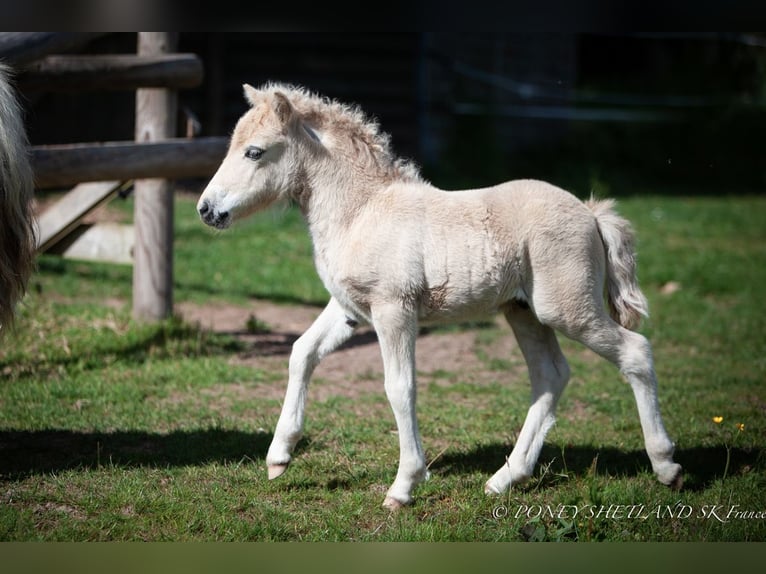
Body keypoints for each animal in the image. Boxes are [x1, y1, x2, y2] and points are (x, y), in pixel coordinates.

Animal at [198, 81, 684, 508]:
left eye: (254, 151)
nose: (206, 209)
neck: (362, 211)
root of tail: (590, 211)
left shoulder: (393, 310)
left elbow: (400, 387)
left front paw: (404, 486)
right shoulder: (351, 309)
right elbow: (301, 352)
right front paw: (279, 457)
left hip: (567, 308)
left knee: (635, 352)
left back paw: (667, 467)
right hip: (523, 311)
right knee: (550, 376)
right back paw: (505, 479)